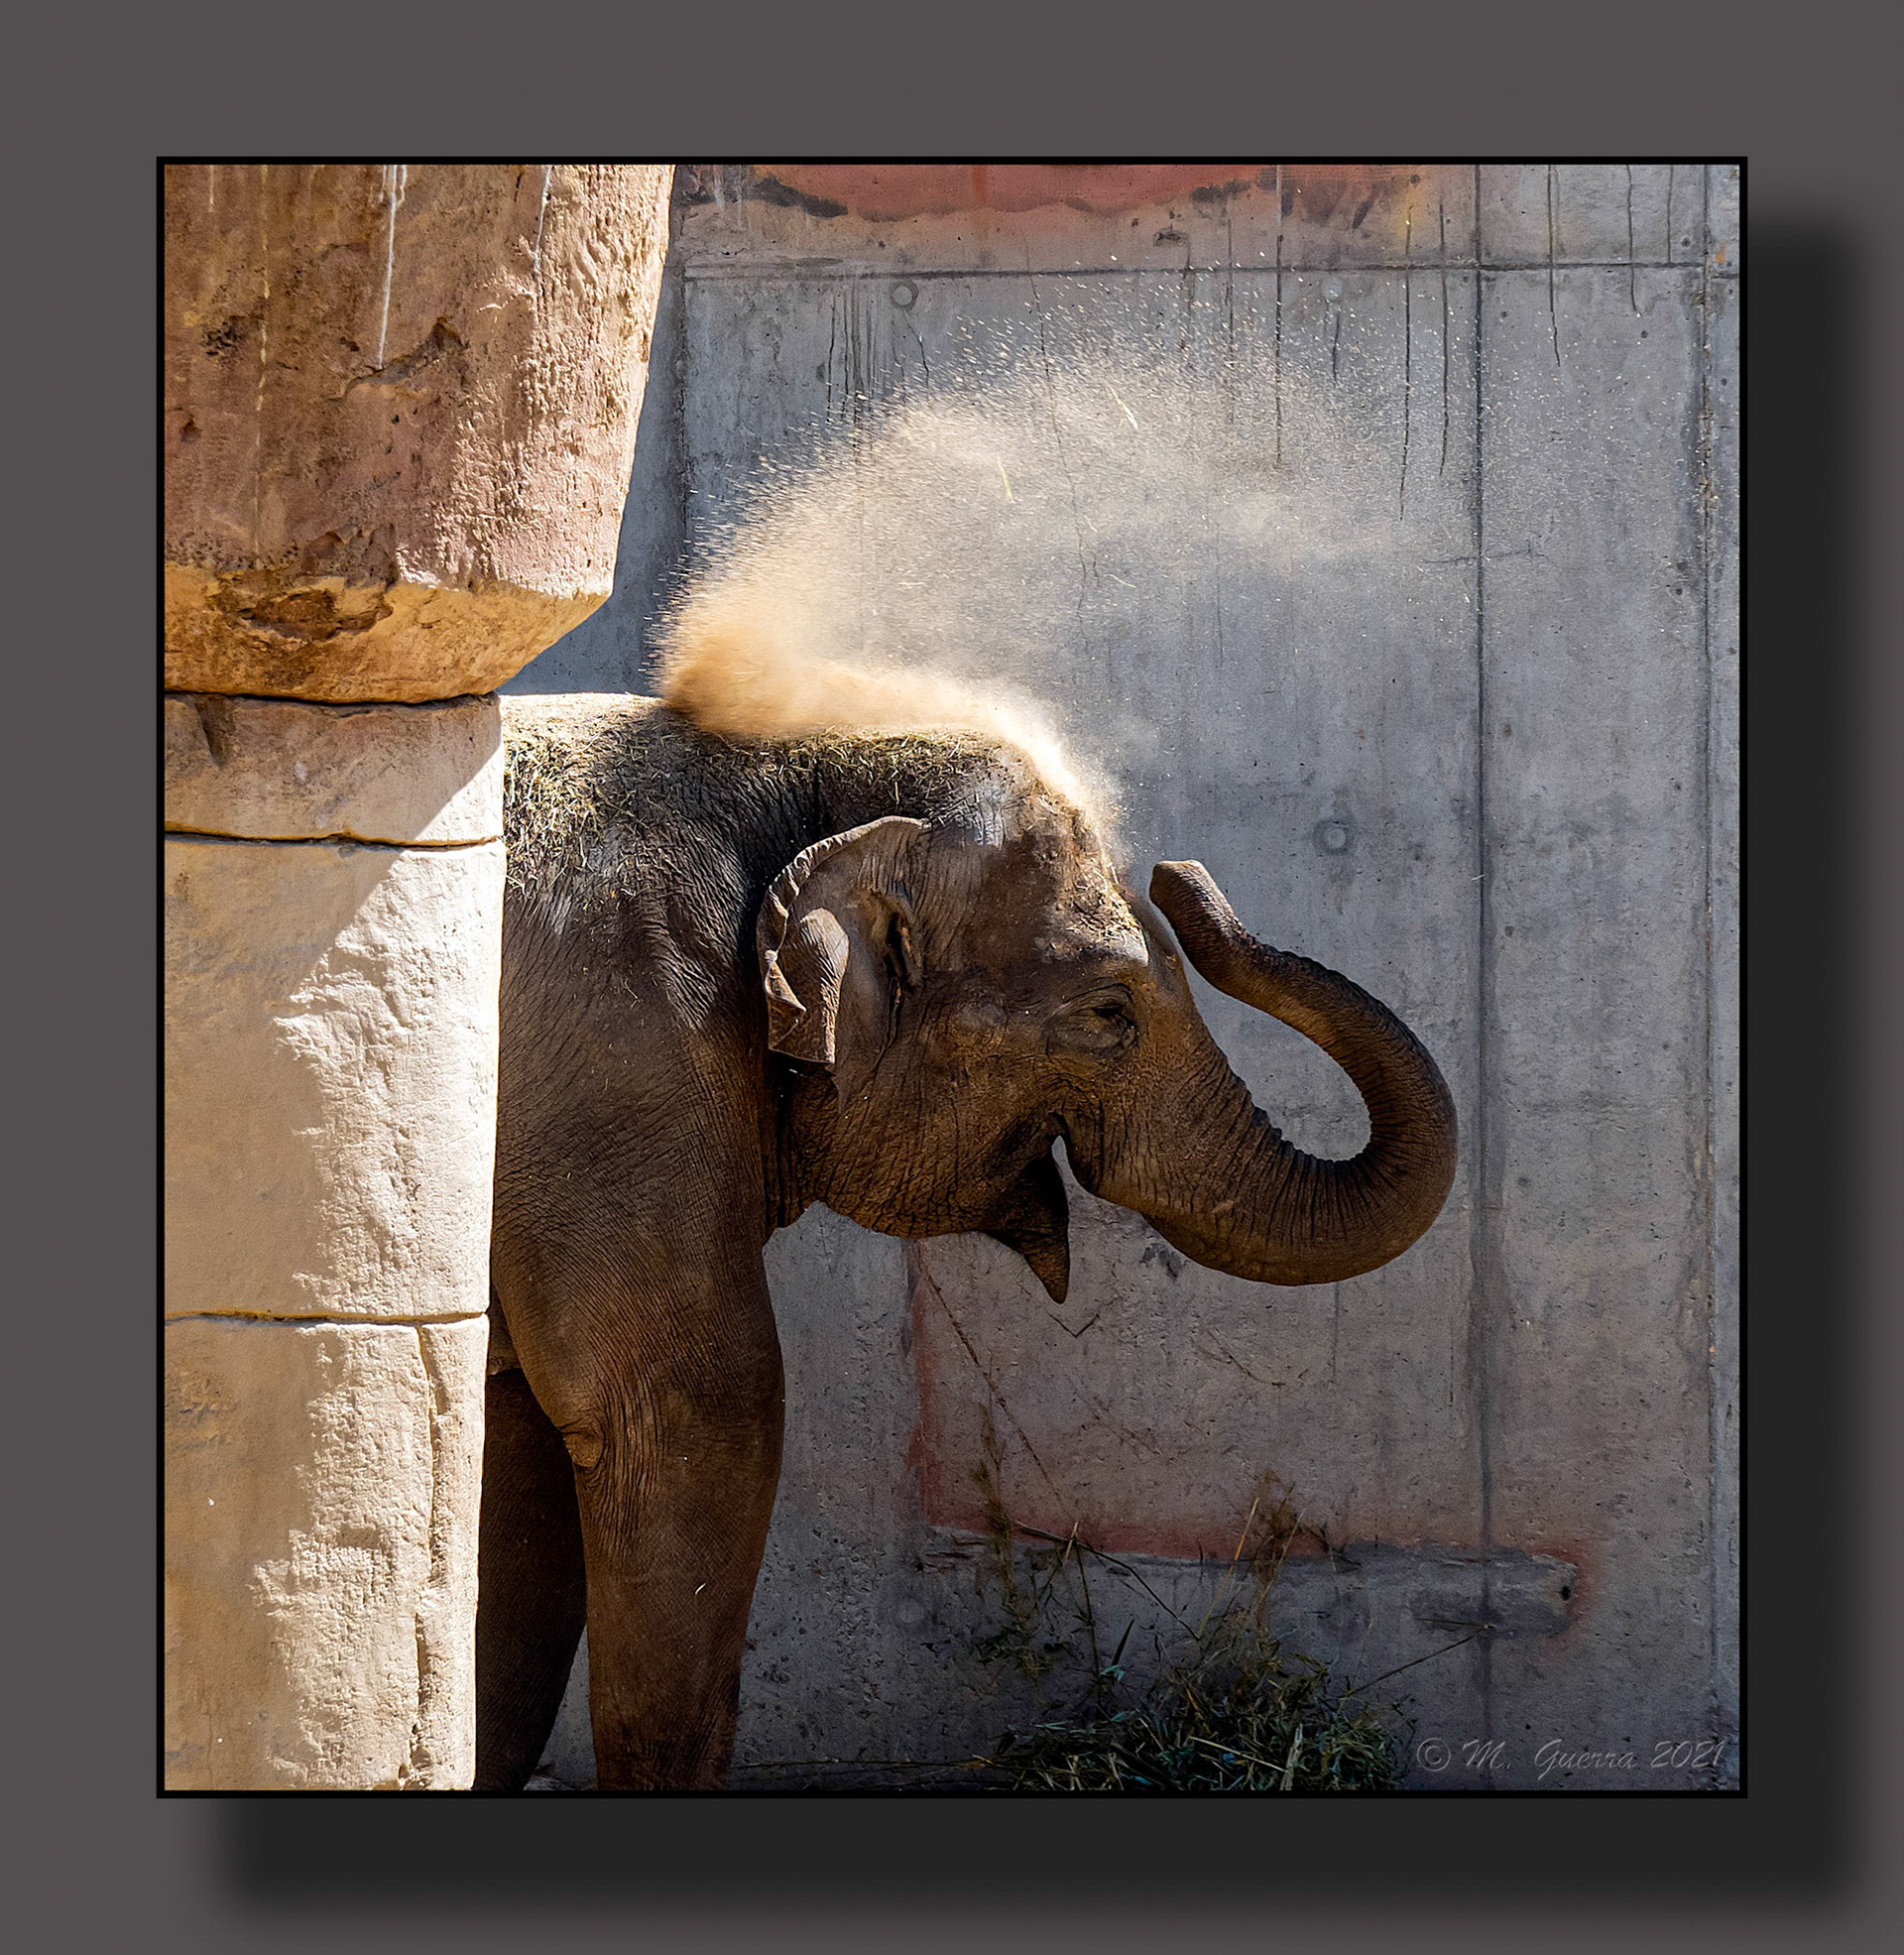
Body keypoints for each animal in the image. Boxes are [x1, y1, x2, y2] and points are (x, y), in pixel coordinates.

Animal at [475, 692, 1457, 1791]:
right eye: (1109, 1011)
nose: (1182, 876)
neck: (785, 771)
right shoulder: (625, 1077)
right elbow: (691, 1407)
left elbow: (514, 1457)